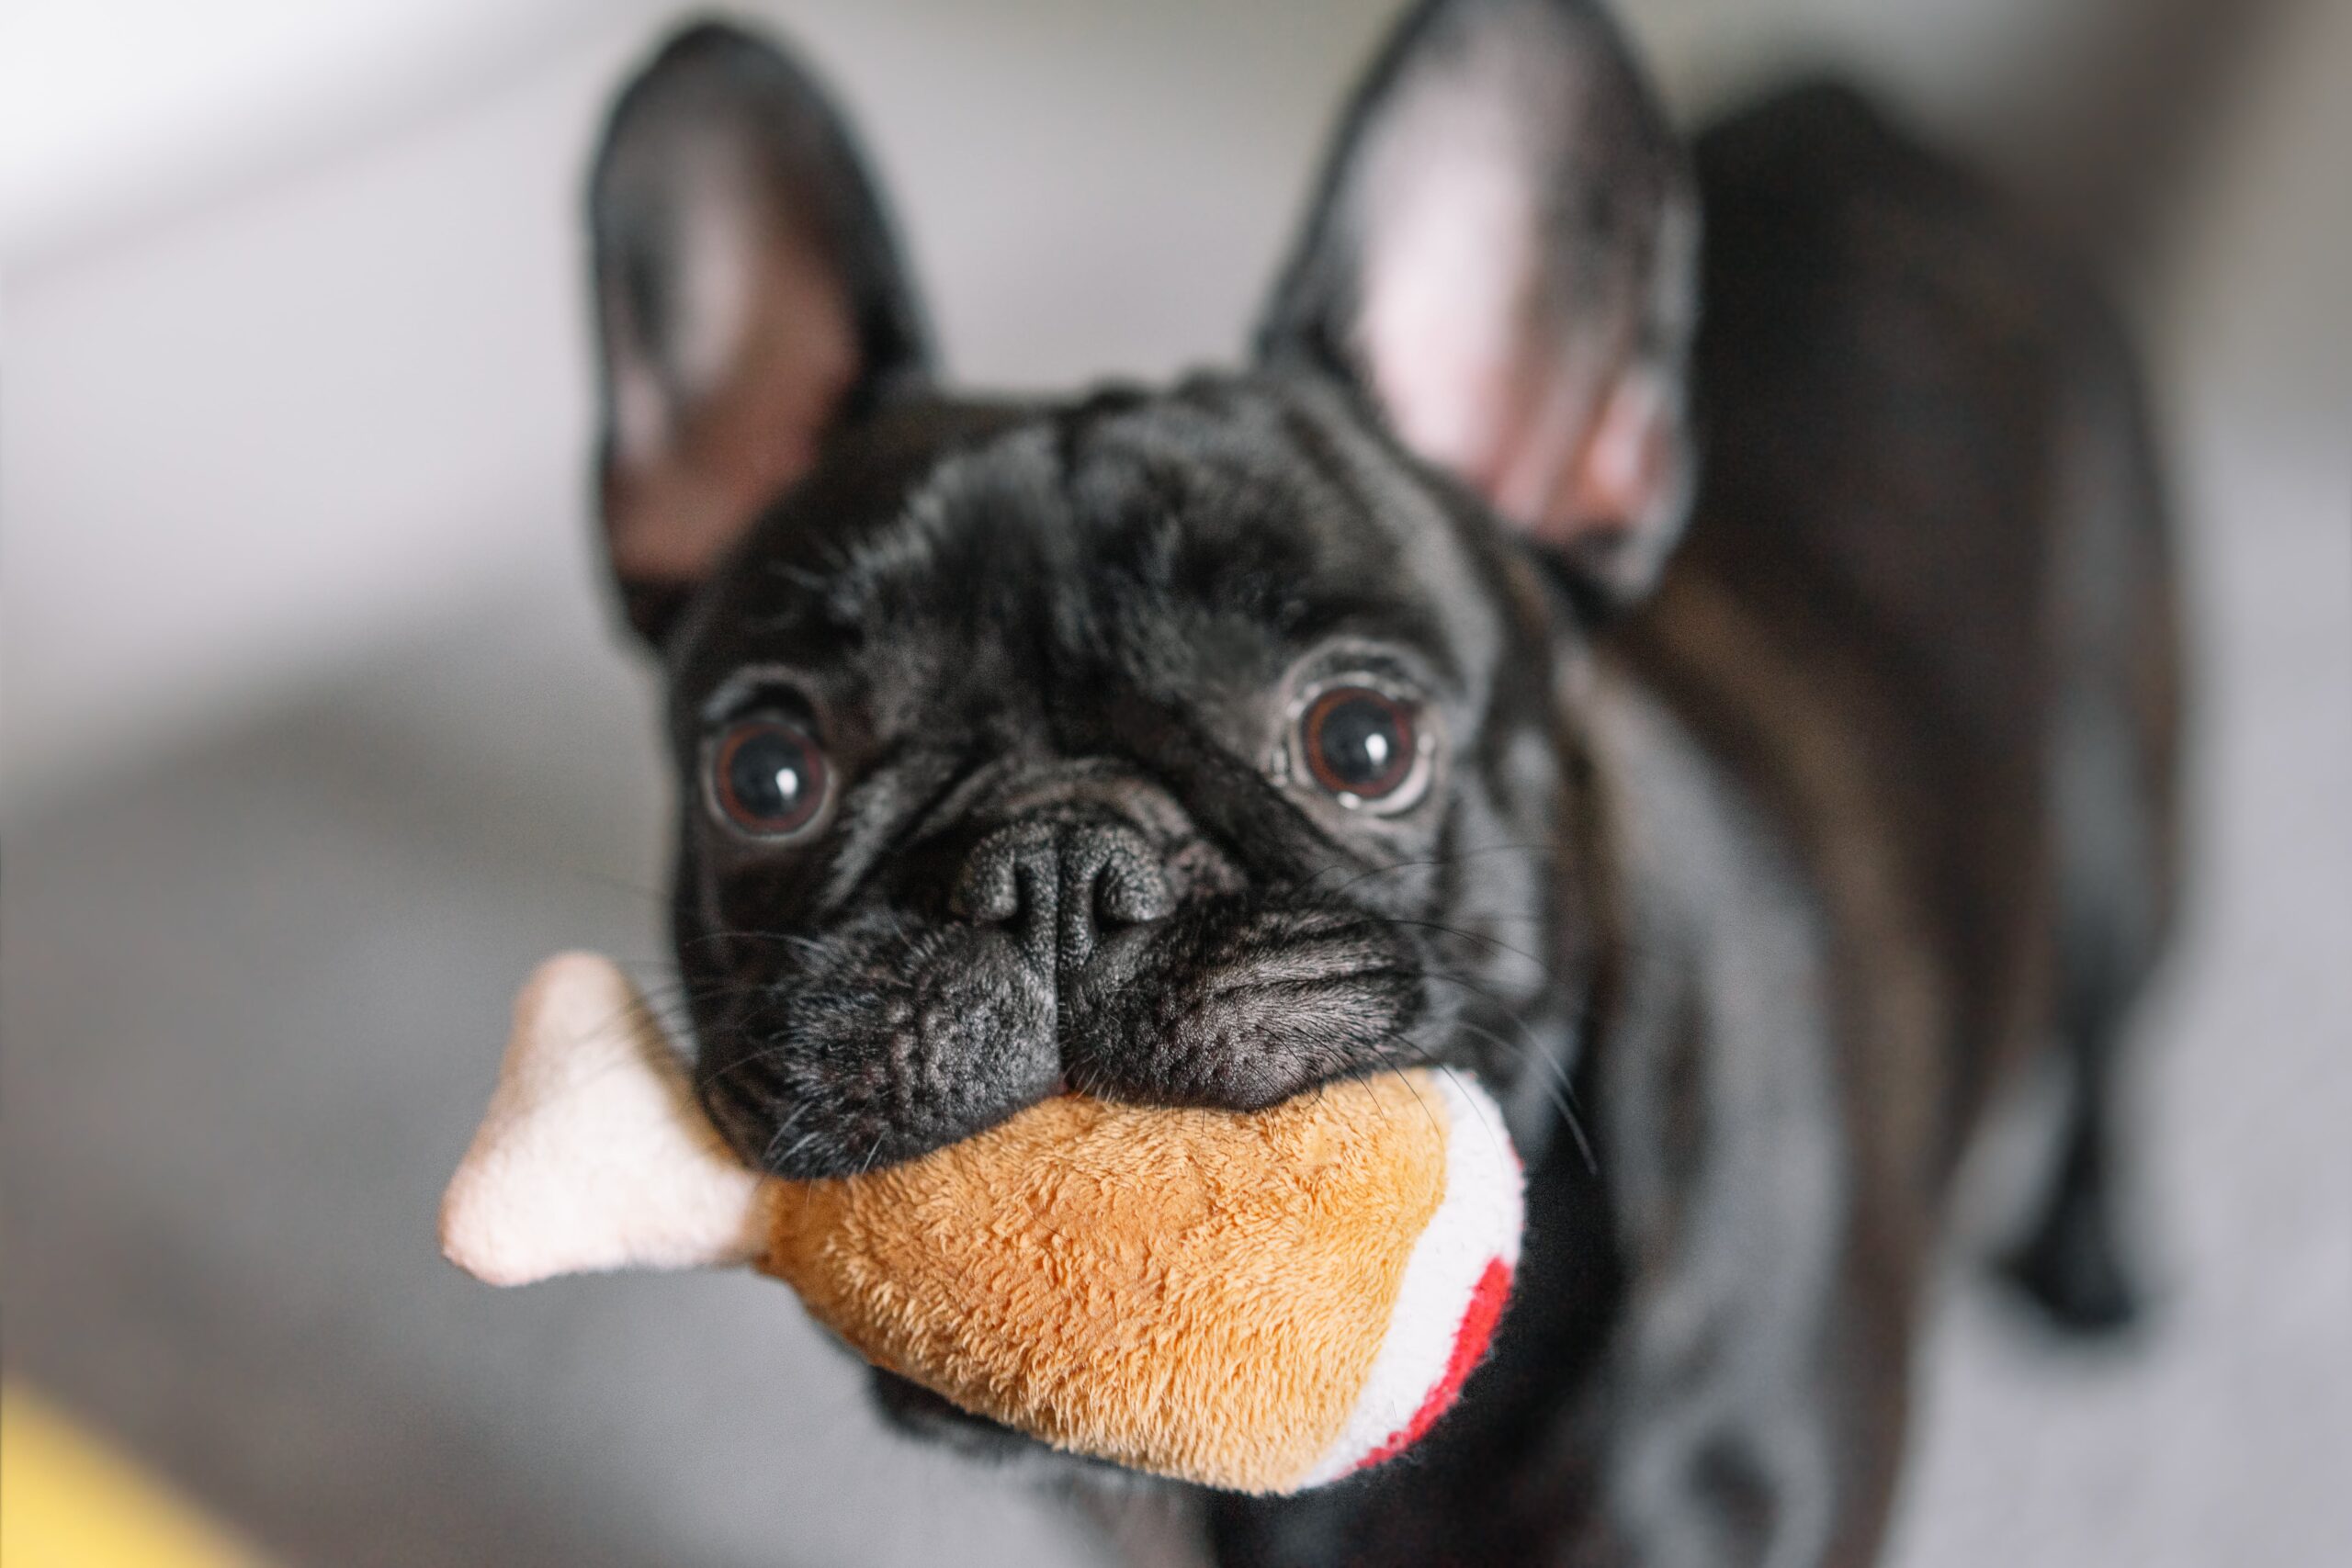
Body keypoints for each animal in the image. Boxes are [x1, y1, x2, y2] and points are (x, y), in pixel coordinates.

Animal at [578, 6, 2173, 1561]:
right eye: (766, 772)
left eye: (1364, 741)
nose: (1056, 867)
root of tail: (1863, 112)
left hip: (2127, 812)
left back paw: (2091, 1265)